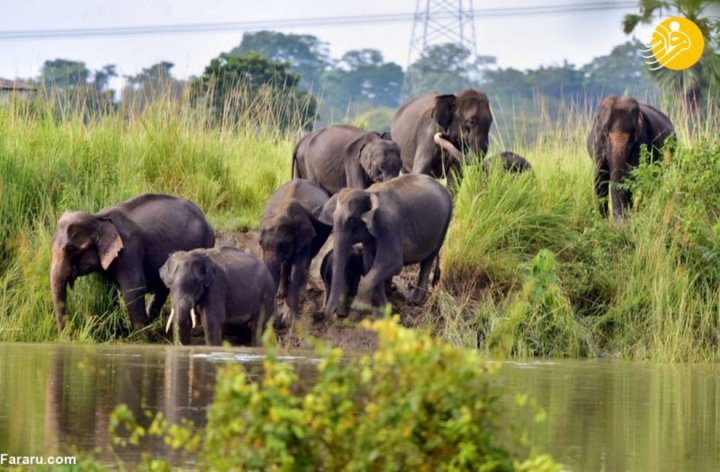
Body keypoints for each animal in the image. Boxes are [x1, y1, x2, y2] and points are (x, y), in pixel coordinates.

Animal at [50, 194, 214, 334]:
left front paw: (141, 337)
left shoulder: (129, 250)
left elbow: (132, 290)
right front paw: (118, 330)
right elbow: (106, 290)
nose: (68, 336)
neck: (98, 218)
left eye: (71, 249)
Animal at [258, 179, 332, 326]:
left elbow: (298, 268)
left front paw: (287, 319)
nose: (276, 321)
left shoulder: (305, 238)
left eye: (284, 244)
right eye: (260, 243)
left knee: (306, 263)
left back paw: (301, 296)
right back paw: (281, 293)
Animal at [316, 174, 450, 320]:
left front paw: (360, 307)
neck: (368, 192)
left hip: (444, 226)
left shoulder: (389, 225)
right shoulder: (371, 235)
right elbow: (370, 264)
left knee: (428, 260)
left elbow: (392, 262)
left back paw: (414, 301)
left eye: (352, 220)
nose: (329, 313)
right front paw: (383, 313)